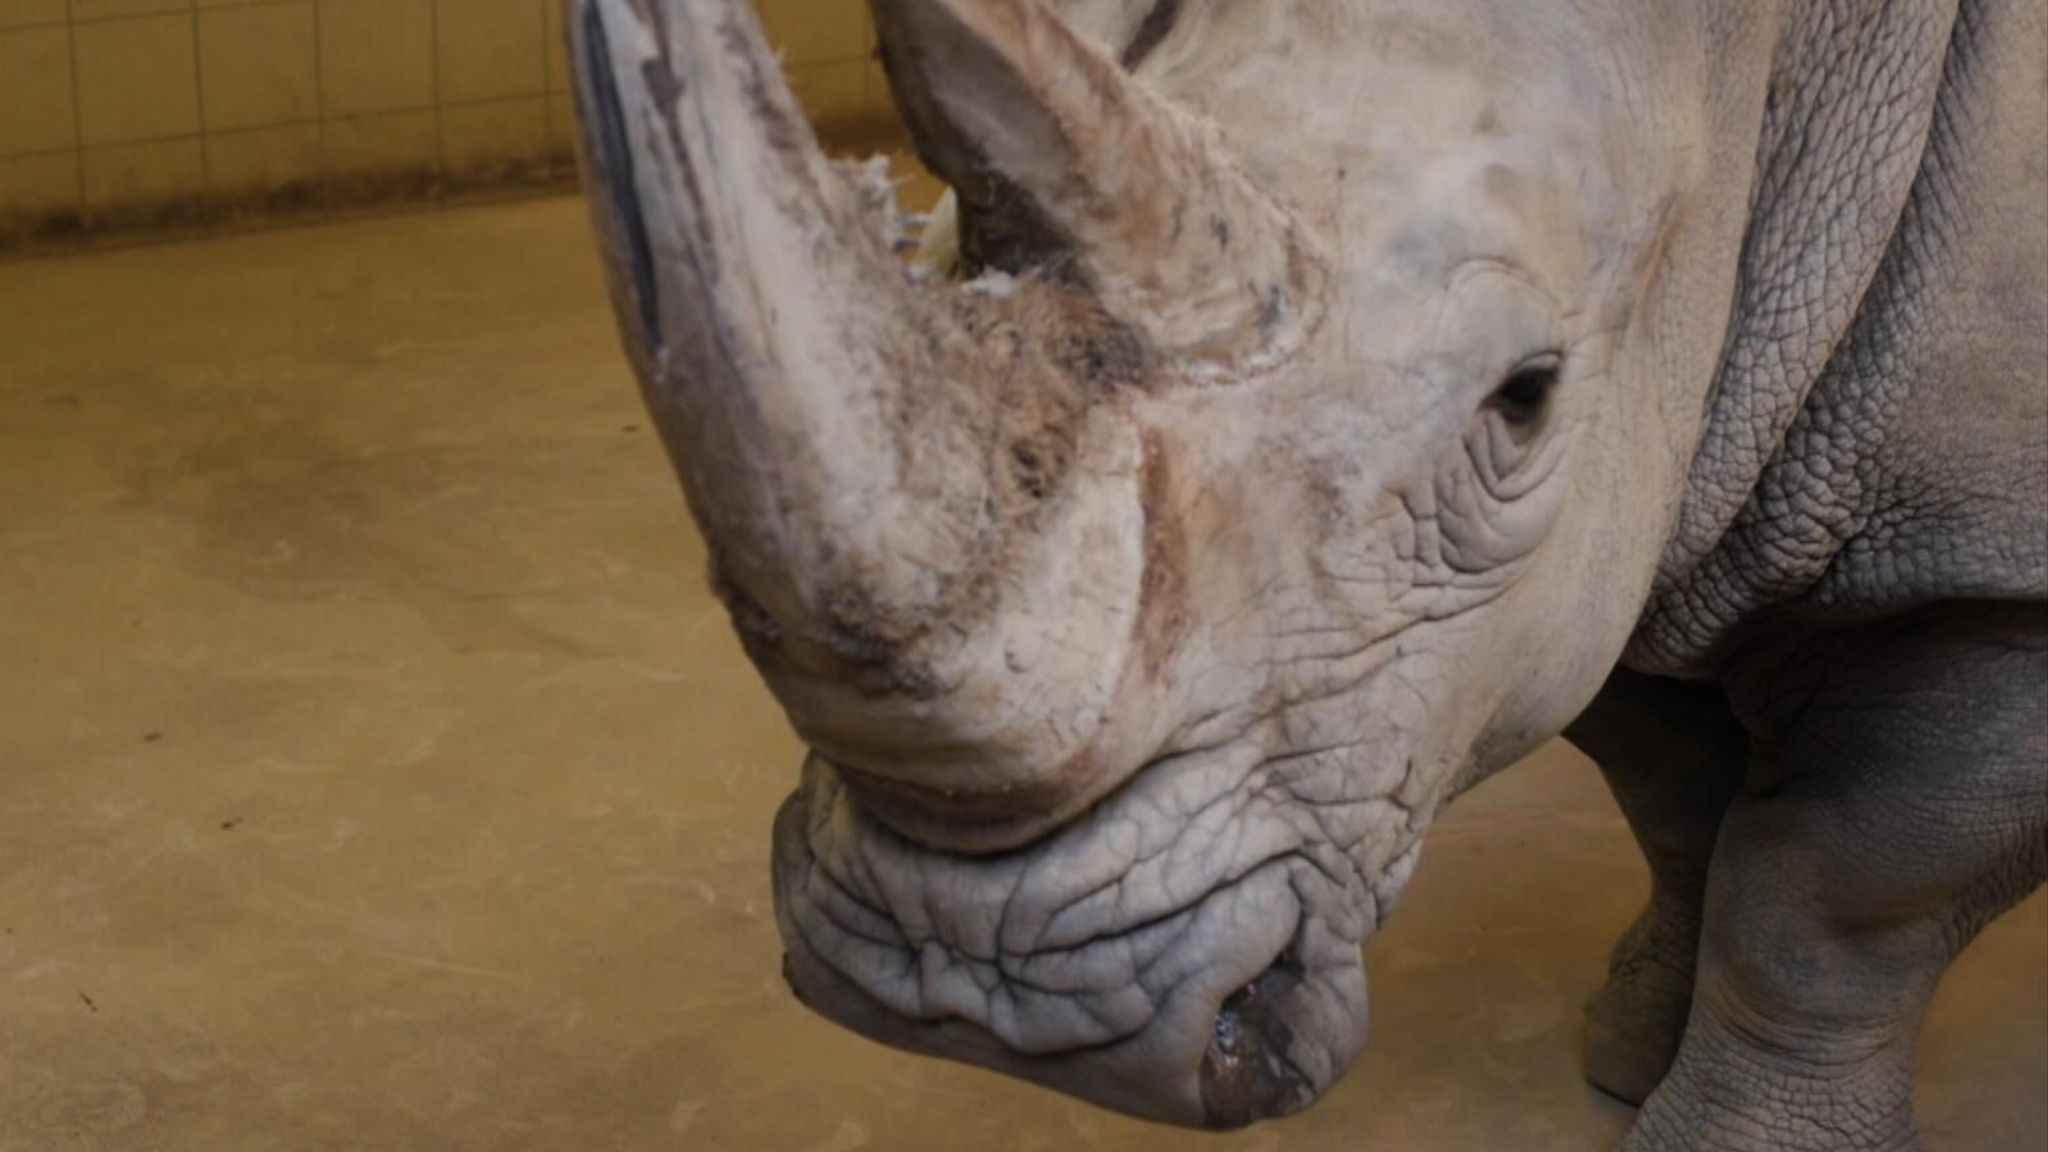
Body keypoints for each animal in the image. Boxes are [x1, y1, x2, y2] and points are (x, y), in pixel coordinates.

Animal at [563, 0, 2047, 1146]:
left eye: (1524, 400)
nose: (975, 981)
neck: (1773, 77)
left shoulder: (1992, 562)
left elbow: (1817, 902)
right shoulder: (1649, 499)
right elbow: (1679, 804)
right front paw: (1625, 1054)